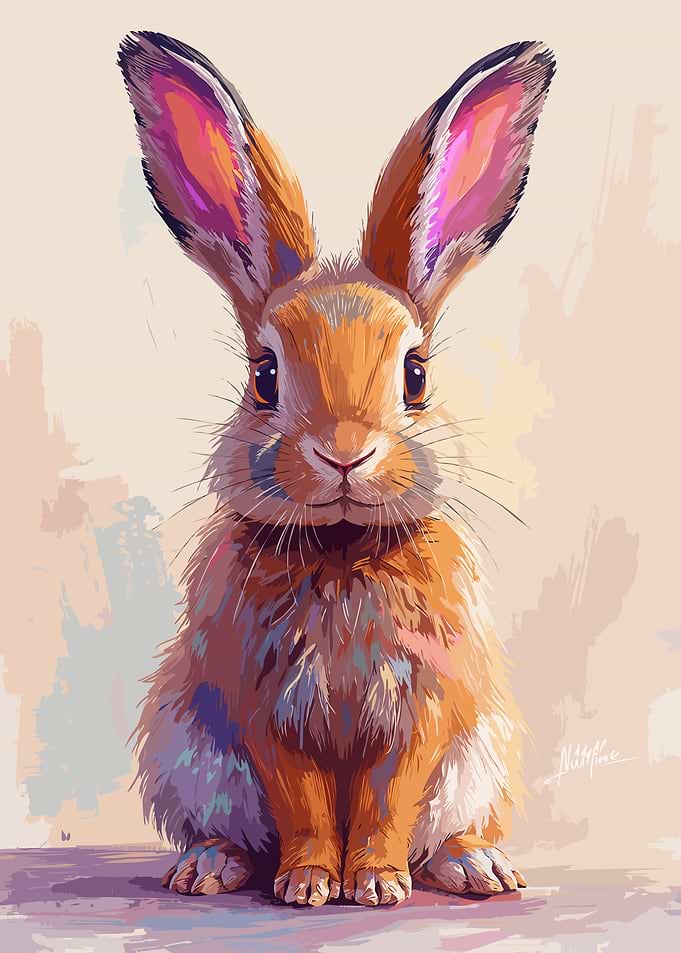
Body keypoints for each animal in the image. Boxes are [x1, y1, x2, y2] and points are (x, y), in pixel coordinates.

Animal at [118, 31, 555, 906]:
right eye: (263, 377)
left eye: (415, 375)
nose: (344, 451)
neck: (343, 550)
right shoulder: (266, 710)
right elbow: (304, 804)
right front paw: (311, 884)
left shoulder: (423, 707)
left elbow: (389, 799)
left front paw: (378, 883)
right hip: (187, 755)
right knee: (227, 828)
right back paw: (208, 864)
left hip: (482, 759)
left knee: (454, 825)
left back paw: (476, 865)